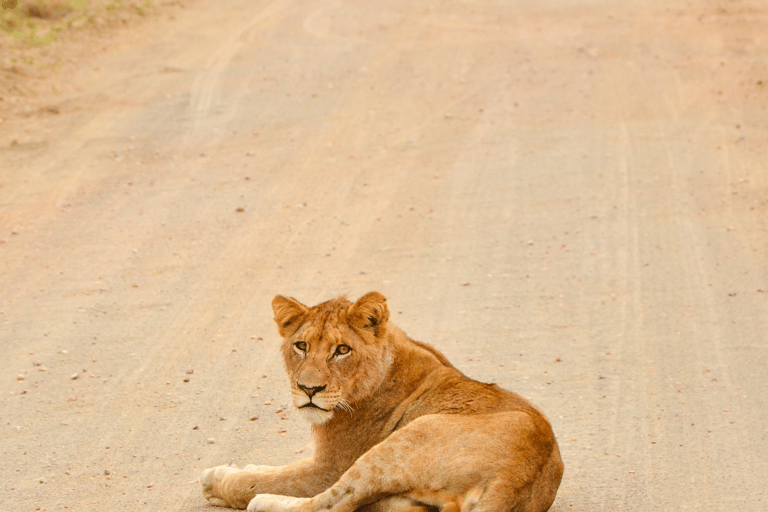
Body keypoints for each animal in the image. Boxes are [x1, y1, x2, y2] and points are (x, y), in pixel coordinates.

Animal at [201, 292, 564, 512]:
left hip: (404, 441)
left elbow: (266, 480)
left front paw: (220, 480)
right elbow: (274, 469)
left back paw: (259, 501)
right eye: (301, 346)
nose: (308, 389)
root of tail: (514, 480)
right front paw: (245, 466)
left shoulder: (329, 467)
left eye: (342, 350)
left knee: (332, 502)